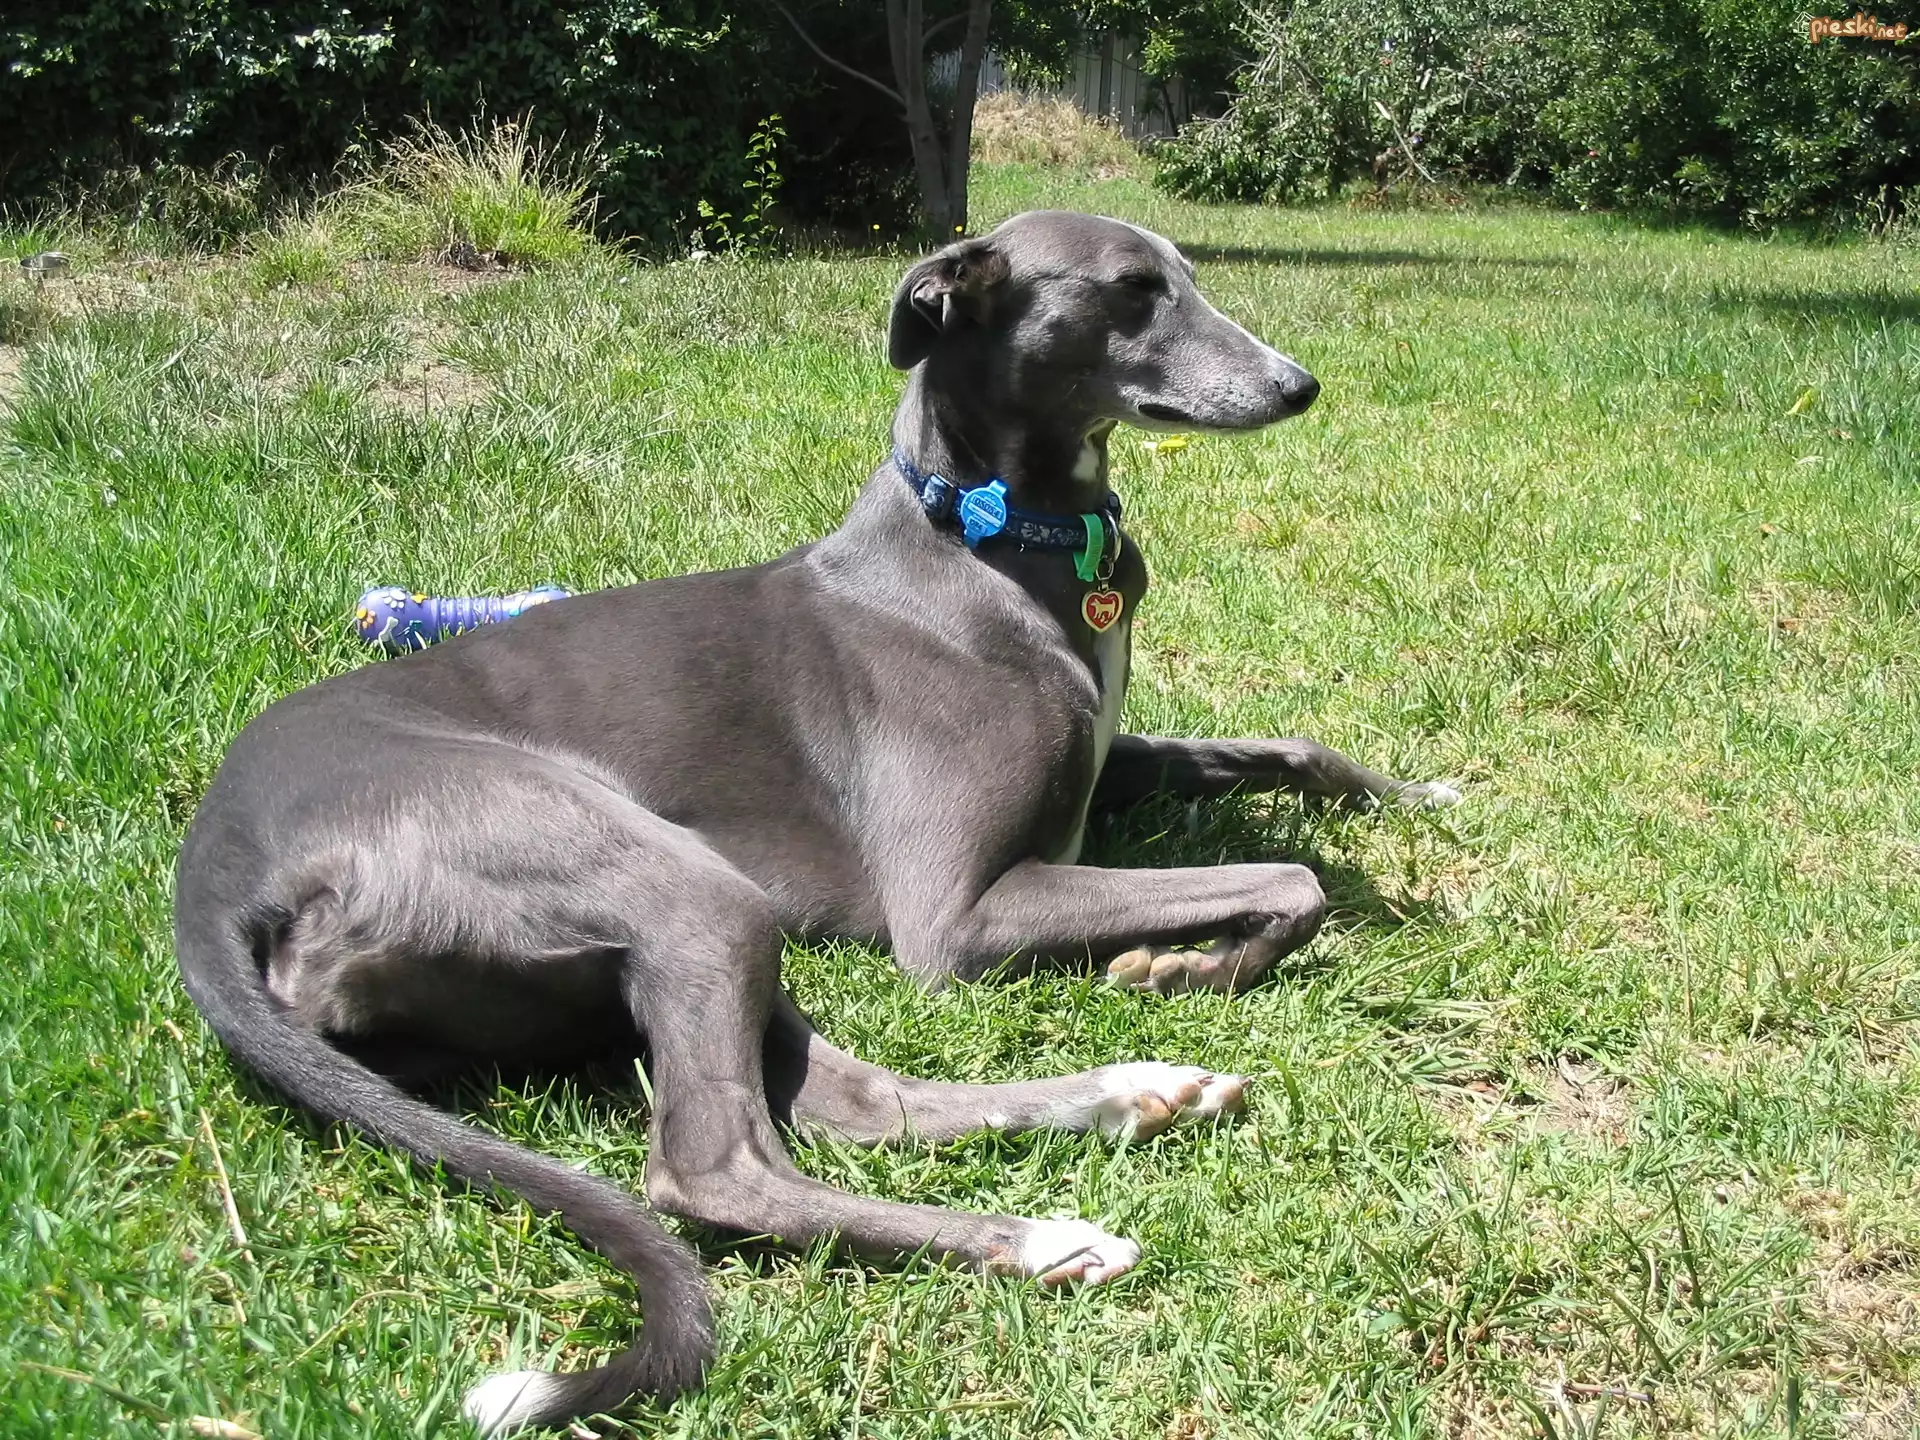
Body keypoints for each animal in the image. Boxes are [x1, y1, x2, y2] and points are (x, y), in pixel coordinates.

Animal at [174, 210, 1458, 1435]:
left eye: (1184, 276)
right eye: (1134, 292)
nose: (1298, 384)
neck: (987, 539)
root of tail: (217, 862)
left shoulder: (1111, 766)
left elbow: (1291, 751)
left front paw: (1415, 797)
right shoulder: (957, 916)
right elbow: (1292, 877)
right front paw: (1182, 965)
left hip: (658, 935)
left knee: (861, 1104)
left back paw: (1126, 1098)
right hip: (661, 879)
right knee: (717, 1168)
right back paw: (1037, 1235)